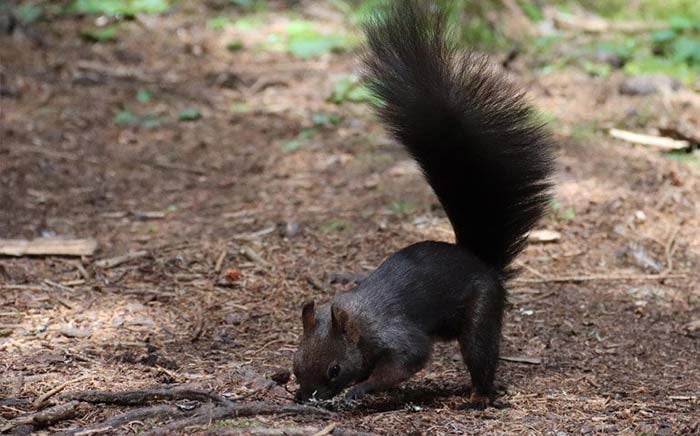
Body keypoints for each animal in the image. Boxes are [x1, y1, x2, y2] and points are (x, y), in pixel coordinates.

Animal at [290, 0, 552, 408]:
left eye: (333, 369)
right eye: (296, 364)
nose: (306, 397)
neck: (359, 320)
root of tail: (481, 263)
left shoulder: (396, 335)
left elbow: (407, 360)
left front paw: (360, 389)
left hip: (480, 311)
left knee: (480, 352)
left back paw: (478, 395)